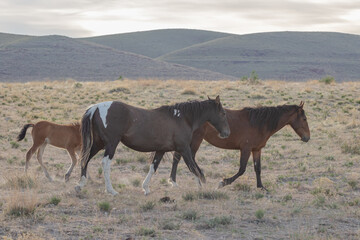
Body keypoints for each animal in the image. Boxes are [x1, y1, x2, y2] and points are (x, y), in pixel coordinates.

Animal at [75, 95, 231, 195]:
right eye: (223, 113)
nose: (226, 133)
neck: (182, 118)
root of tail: (95, 107)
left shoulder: (161, 150)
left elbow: (153, 168)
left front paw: (145, 188)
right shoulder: (184, 149)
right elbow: (193, 167)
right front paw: (201, 187)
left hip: (98, 144)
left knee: (85, 159)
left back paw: (80, 185)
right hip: (111, 144)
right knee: (105, 164)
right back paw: (111, 190)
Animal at [169, 101, 310, 191]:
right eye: (304, 119)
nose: (307, 137)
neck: (259, 123)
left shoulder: (256, 149)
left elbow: (258, 169)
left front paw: (261, 187)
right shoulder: (246, 149)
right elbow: (242, 169)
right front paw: (223, 182)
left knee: (179, 157)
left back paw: (177, 180)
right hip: (196, 139)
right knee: (188, 158)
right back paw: (197, 178)